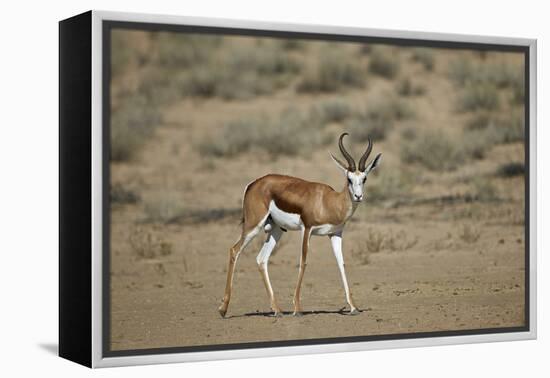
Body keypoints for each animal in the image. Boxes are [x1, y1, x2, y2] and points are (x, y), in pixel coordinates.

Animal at [218, 131, 382, 318]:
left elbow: (341, 264)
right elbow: (303, 263)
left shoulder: (335, 234)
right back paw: (223, 309)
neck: (328, 202)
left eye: (364, 178)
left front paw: (354, 307)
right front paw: (297, 308)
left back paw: (277, 310)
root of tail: (253, 184)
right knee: (234, 250)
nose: (358, 196)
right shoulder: (307, 229)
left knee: (261, 259)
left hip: (276, 230)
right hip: (253, 226)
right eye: (349, 179)